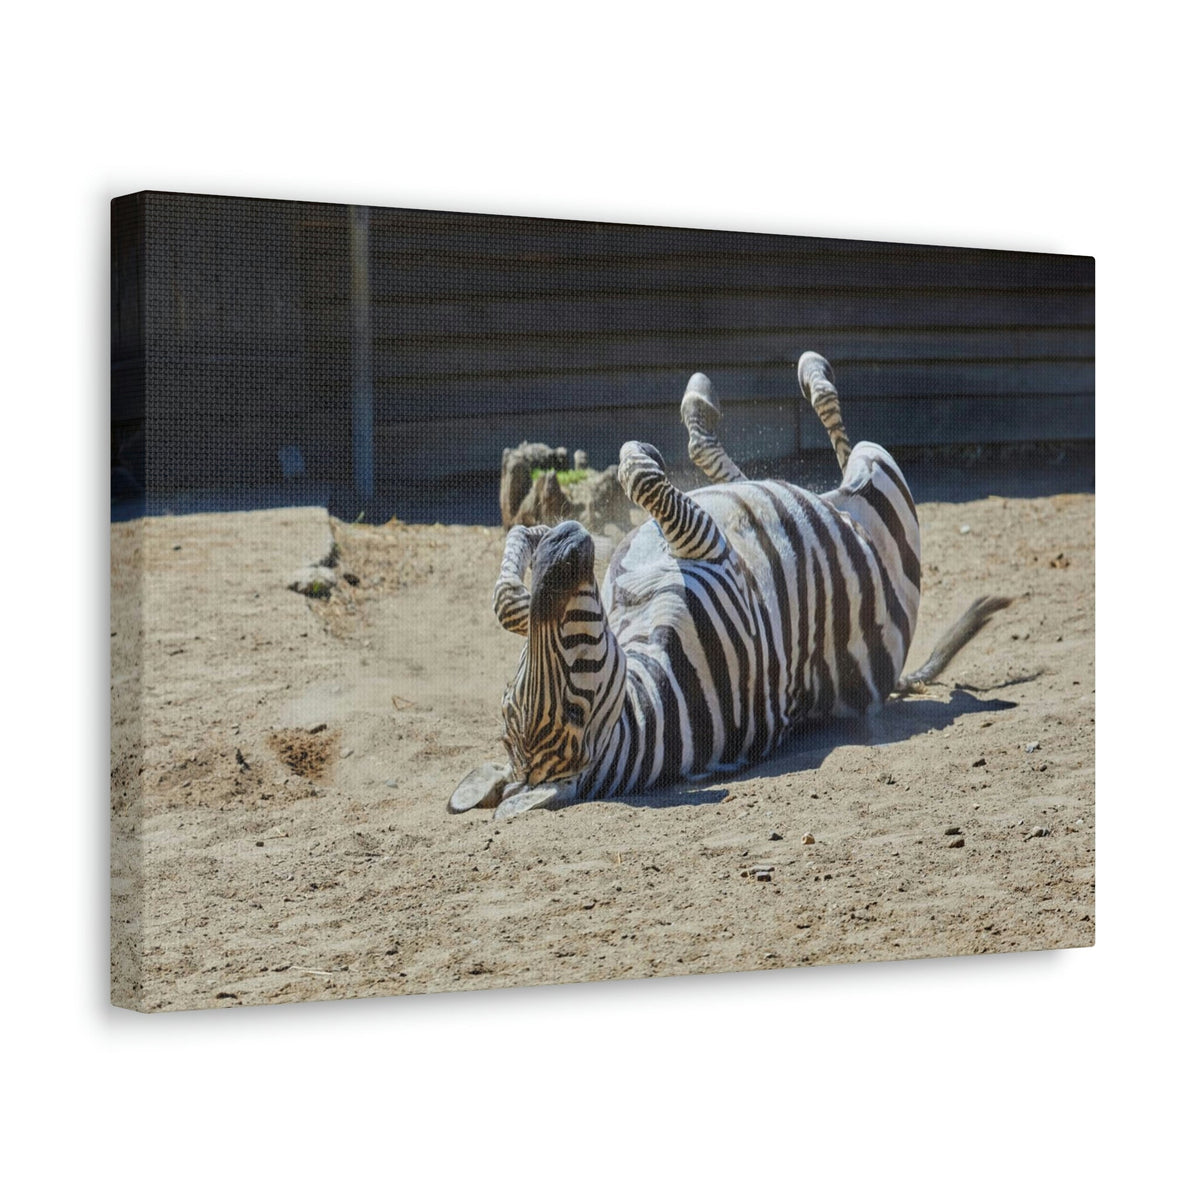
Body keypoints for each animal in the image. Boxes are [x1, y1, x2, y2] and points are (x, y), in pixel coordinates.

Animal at [451, 352, 1011, 818]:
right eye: (572, 707)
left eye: (513, 693)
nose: (565, 542)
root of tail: (892, 678)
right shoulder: (710, 550)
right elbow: (638, 472)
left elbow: (508, 601)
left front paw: (529, 539)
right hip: (883, 489)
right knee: (841, 449)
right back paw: (810, 374)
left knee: (737, 469)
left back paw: (708, 398)